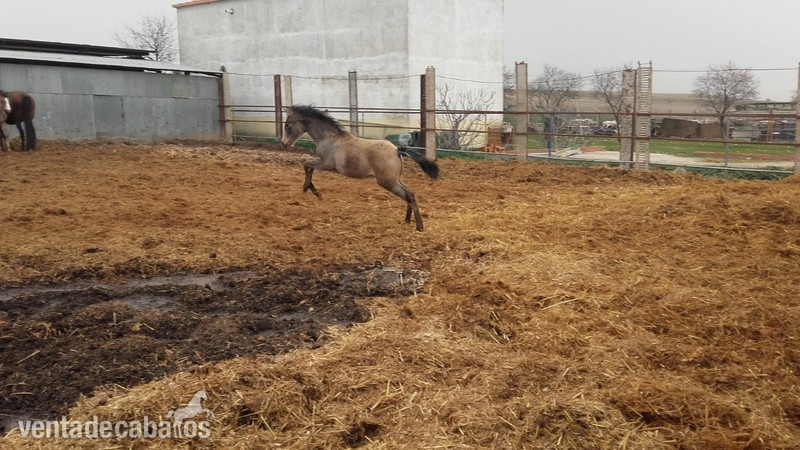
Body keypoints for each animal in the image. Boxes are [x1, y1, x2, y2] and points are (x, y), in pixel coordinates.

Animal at [280, 105, 439, 231]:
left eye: (287, 124)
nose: (283, 143)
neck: (329, 138)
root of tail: (397, 150)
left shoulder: (325, 164)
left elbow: (306, 164)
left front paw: (310, 189)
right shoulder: (322, 163)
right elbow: (308, 166)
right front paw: (312, 190)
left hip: (388, 182)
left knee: (408, 195)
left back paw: (419, 226)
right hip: (396, 180)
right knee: (409, 193)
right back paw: (407, 221)